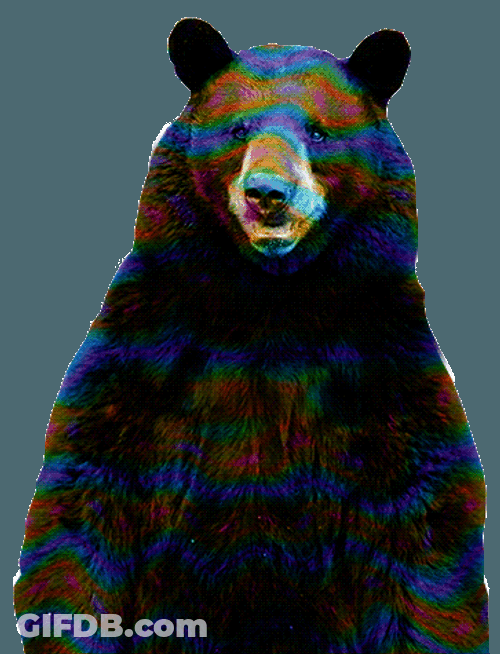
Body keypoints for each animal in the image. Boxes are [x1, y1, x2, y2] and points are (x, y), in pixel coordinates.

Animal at [14, 17, 488, 654]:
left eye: (318, 131)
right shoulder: (142, 349)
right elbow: (87, 491)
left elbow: (422, 513)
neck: (271, 301)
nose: (267, 192)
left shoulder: (385, 361)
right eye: (237, 128)